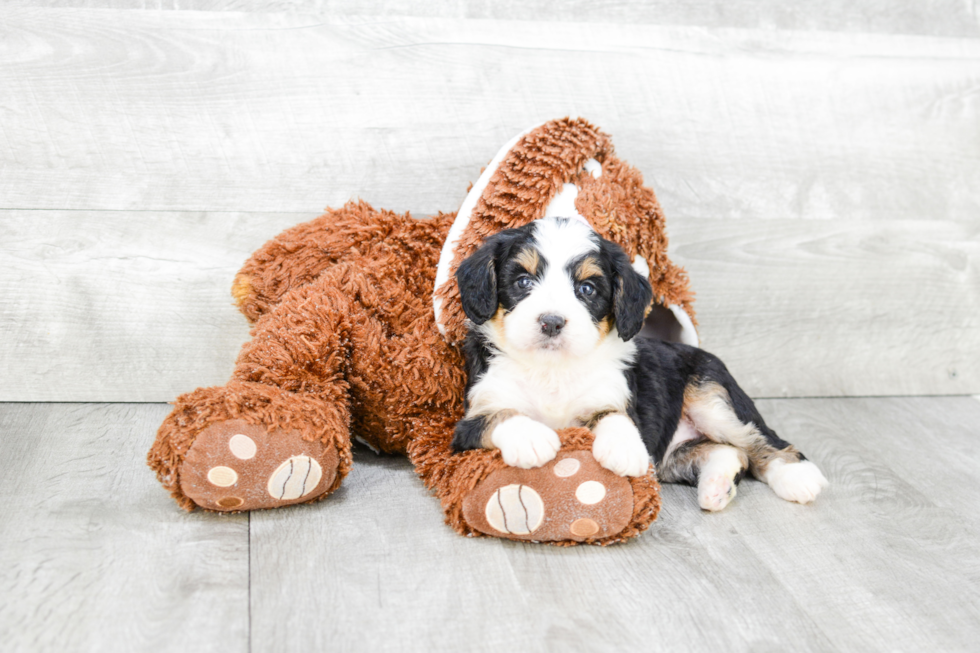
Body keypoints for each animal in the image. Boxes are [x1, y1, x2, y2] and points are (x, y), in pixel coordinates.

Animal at [452, 216, 828, 512]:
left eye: (587, 289)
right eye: (523, 282)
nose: (552, 322)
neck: (552, 369)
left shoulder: (616, 396)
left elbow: (615, 417)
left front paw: (623, 448)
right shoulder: (468, 422)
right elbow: (500, 415)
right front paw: (531, 438)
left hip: (711, 398)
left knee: (759, 440)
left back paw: (797, 476)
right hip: (673, 457)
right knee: (729, 452)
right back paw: (716, 485)